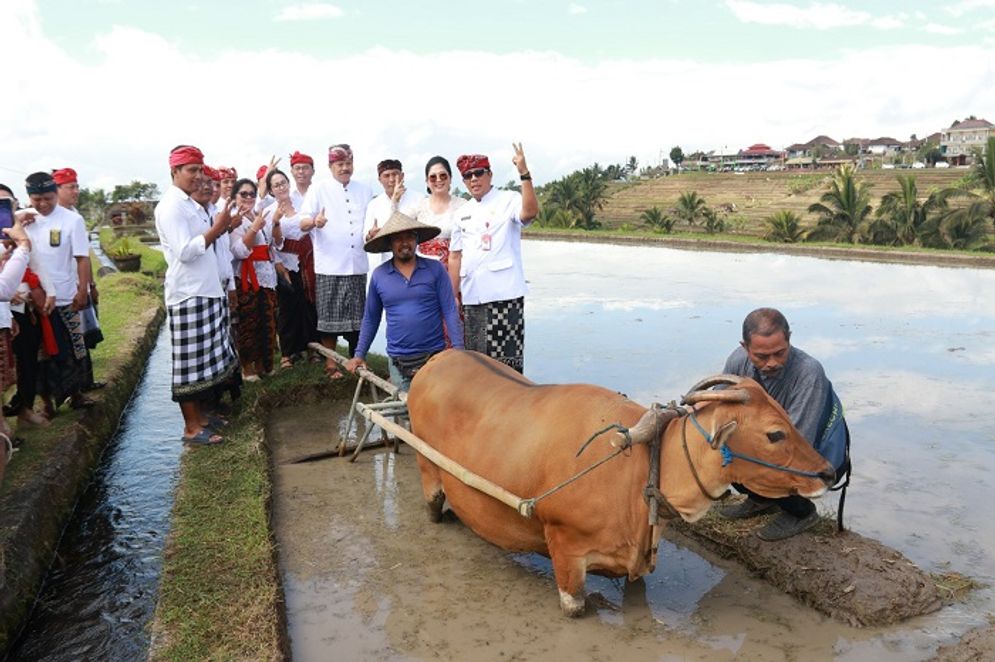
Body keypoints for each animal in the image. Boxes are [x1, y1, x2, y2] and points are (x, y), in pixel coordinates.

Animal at [404, 352, 832, 616]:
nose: (828, 472)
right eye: (775, 433)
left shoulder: (639, 562)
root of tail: (436, 360)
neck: (642, 469)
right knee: (433, 500)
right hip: (428, 468)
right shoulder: (565, 550)